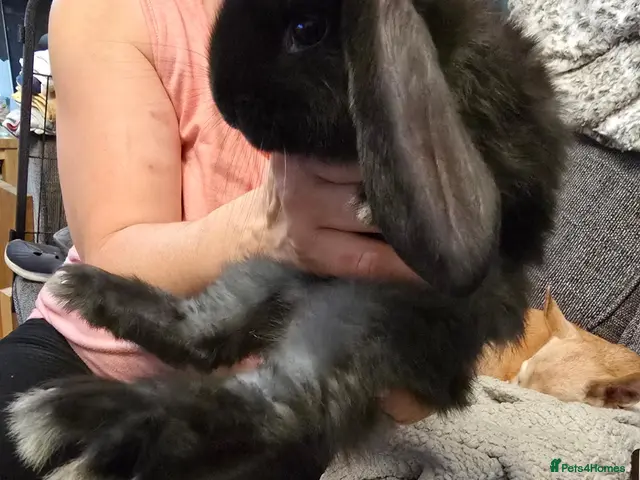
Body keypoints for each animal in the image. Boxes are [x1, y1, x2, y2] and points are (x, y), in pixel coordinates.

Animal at [6, 0, 568, 478]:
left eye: (307, 29)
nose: (227, 105)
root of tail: (297, 299)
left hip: (364, 321)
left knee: (273, 408)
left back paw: (92, 426)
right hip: (266, 271)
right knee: (204, 336)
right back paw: (84, 298)